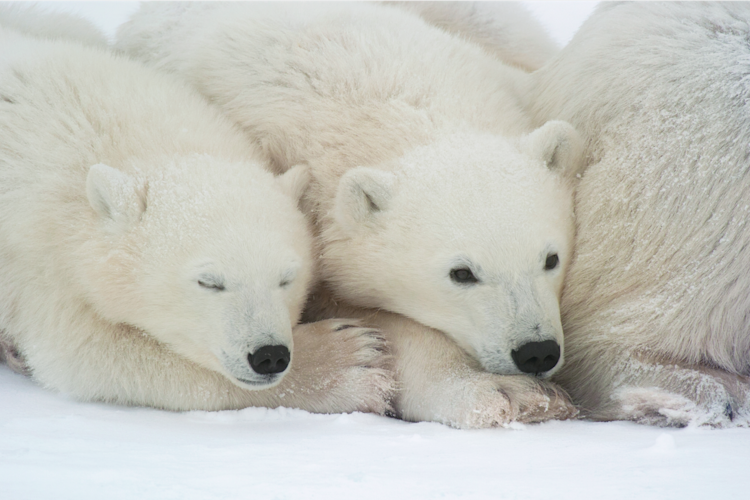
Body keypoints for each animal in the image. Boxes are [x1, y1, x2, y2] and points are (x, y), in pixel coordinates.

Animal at [0, 10, 393, 415]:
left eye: (287, 278)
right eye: (209, 281)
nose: (269, 355)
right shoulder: (40, 268)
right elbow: (91, 354)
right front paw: (351, 359)